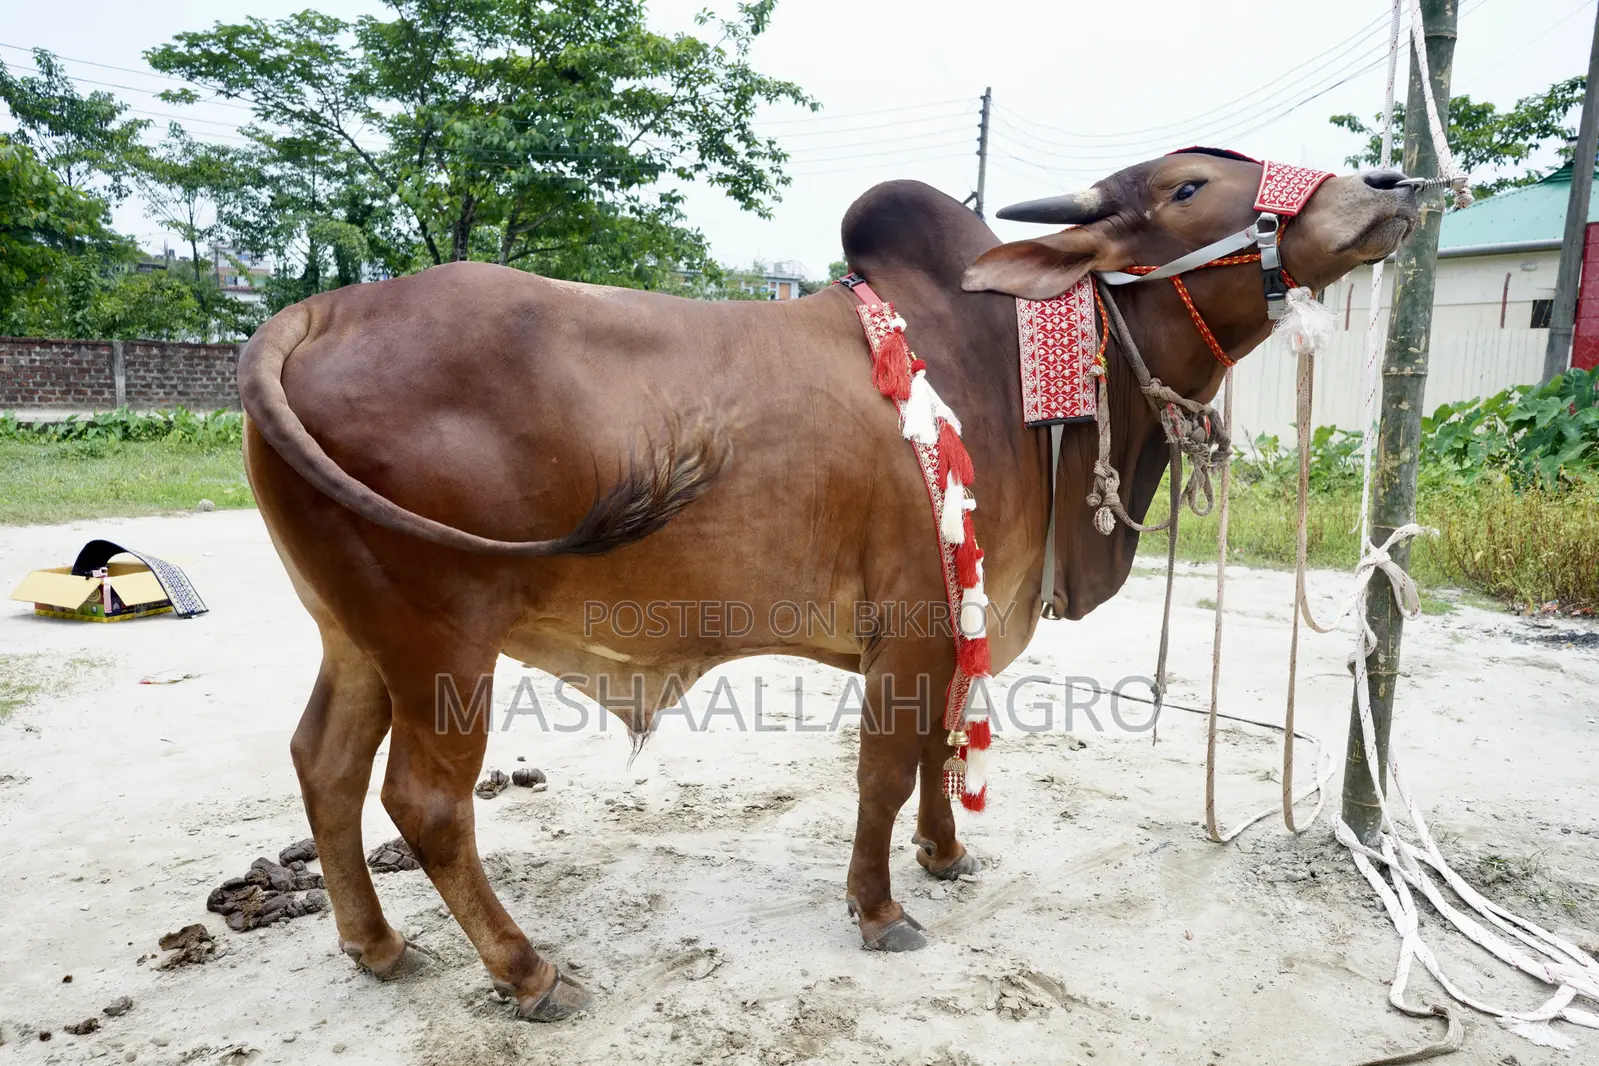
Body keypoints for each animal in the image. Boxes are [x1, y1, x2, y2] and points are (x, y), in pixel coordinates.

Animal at [238, 149, 1419, 1020]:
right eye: (1186, 187)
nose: (1387, 185)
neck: (1004, 367)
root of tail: (316, 315)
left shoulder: (958, 621)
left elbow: (941, 749)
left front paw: (944, 855)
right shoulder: (913, 622)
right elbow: (885, 771)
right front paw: (879, 907)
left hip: (358, 634)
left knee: (324, 766)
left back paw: (377, 945)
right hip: (442, 642)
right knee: (425, 804)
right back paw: (528, 972)